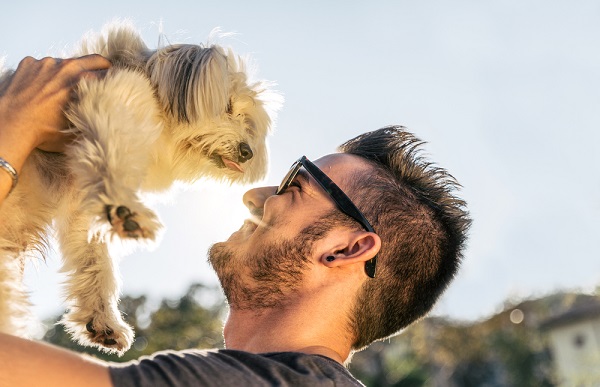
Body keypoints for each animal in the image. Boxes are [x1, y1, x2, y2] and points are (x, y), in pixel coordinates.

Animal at [0, 20, 282, 354]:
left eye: (246, 121)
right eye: (227, 106)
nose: (247, 151)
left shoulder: (81, 206)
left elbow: (96, 262)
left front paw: (102, 320)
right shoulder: (111, 102)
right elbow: (112, 157)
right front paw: (126, 207)